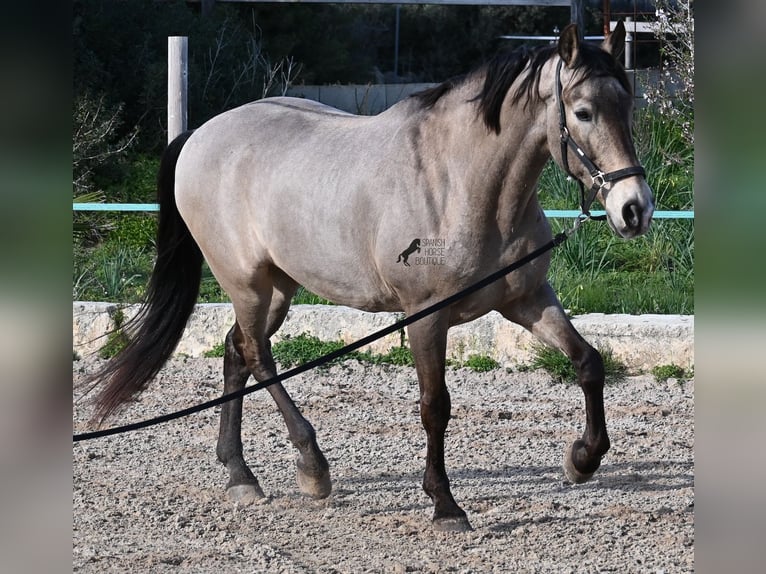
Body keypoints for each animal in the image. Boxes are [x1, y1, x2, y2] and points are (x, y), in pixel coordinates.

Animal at [88, 23, 656, 536]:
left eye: (628, 107)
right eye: (583, 112)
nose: (635, 210)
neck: (461, 185)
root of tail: (200, 135)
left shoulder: (528, 299)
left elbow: (589, 363)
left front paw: (582, 459)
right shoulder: (425, 317)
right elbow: (435, 407)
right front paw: (445, 505)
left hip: (278, 287)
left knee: (236, 351)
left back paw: (240, 474)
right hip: (246, 283)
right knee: (256, 355)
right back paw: (311, 468)